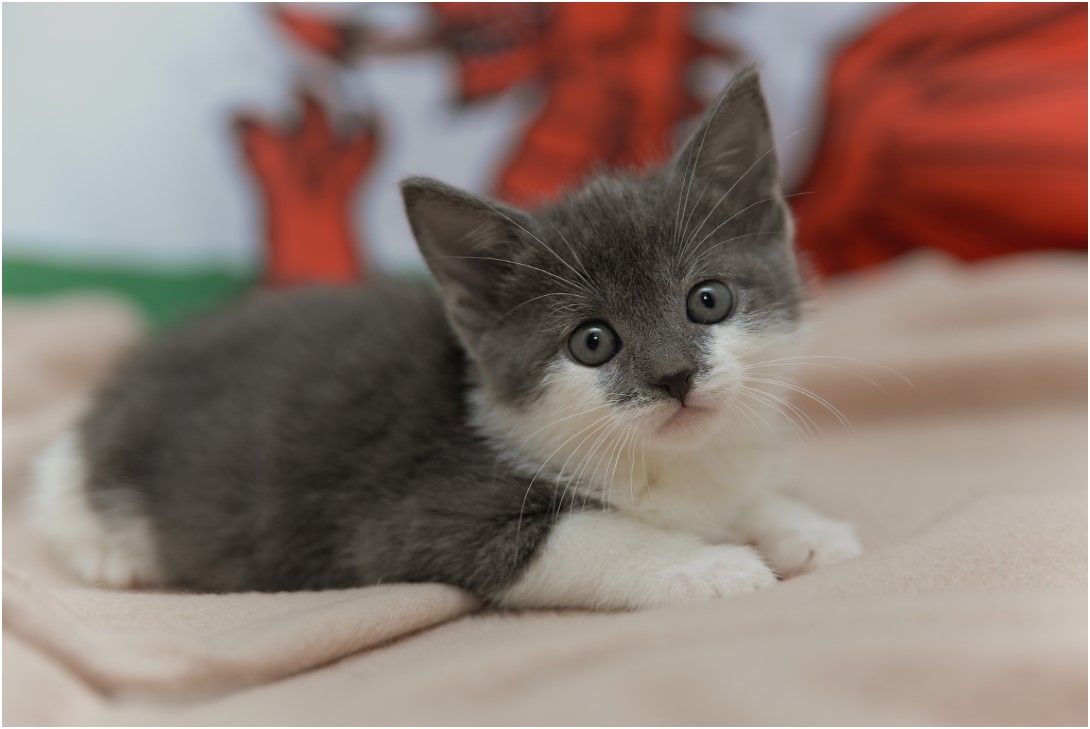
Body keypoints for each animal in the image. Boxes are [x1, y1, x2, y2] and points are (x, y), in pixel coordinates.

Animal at [29, 69, 858, 610]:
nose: (675, 375)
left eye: (707, 300)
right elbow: (587, 536)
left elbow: (745, 496)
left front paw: (802, 526)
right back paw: (107, 550)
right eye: (592, 341)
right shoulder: (412, 520)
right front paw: (715, 565)